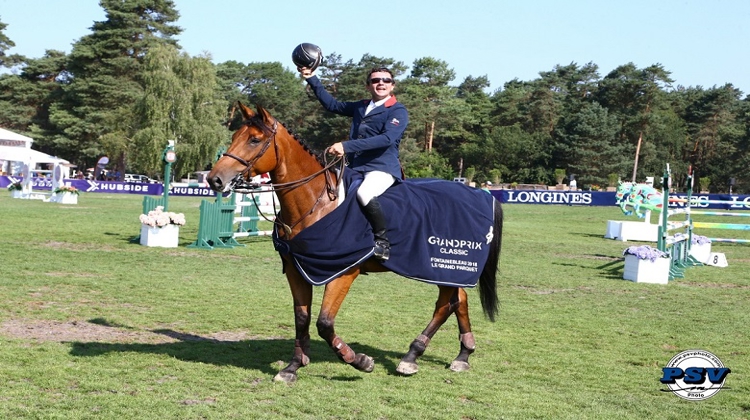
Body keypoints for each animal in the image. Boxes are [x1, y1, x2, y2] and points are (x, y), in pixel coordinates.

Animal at [207, 103, 506, 382]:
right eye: (235, 136)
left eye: (254, 139)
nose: (214, 179)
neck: (316, 202)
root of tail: (482, 194)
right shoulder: (296, 269)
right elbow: (302, 318)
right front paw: (293, 367)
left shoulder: (343, 272)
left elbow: (324, 322)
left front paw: (359, 361)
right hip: (445, 268)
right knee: (458, 300)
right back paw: (462, 355)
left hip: (443, 264)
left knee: (446, 305)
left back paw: (411, 357)